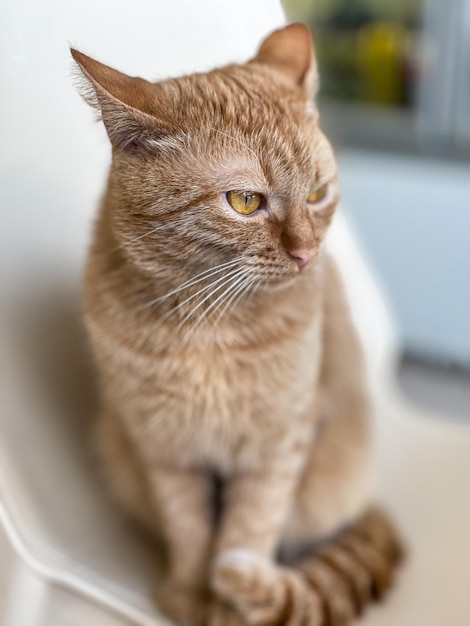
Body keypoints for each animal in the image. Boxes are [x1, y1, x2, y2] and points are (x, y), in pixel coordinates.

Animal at [71, 22, 402, 620]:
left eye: (318, 193)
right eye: (245, 201)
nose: (306, 255)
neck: (210, 329)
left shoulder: (278, 446)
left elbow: (247, 531)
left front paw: (231, 604)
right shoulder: (166, 450)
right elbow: (190, 529)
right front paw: (189, 595)